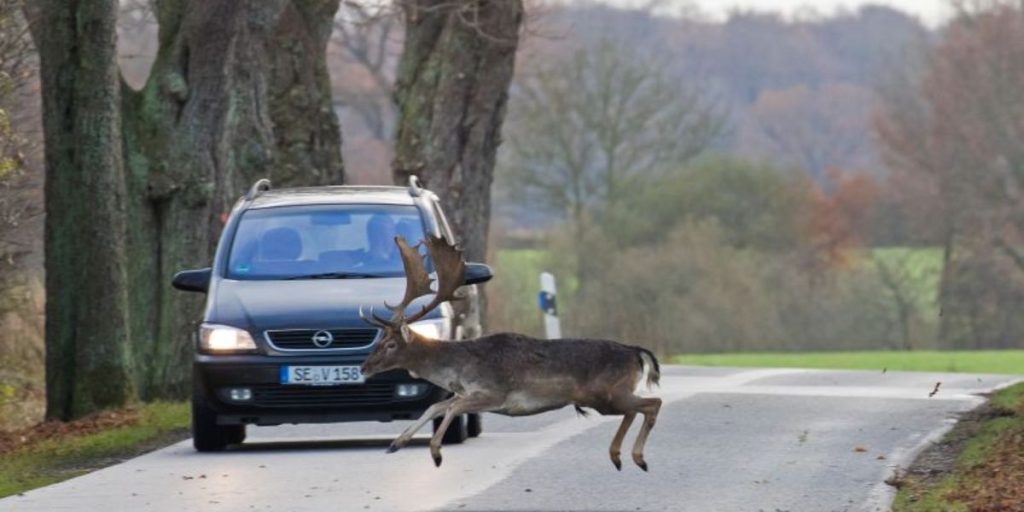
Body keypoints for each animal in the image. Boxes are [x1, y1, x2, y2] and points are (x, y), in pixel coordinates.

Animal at [360, 234, 663, 468]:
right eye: (381, 339)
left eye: (390, 344)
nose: (364, 367)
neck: (458, 368)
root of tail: (636, 352)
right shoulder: (469, 392)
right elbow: (436, 405)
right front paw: (396, 443)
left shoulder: (494, 392)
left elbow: (452, 407)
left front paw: (435, 452)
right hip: (606, 398)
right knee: (636, 409)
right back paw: (619, 456)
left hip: (607, 393)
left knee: (652, 403)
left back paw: (637, 457)